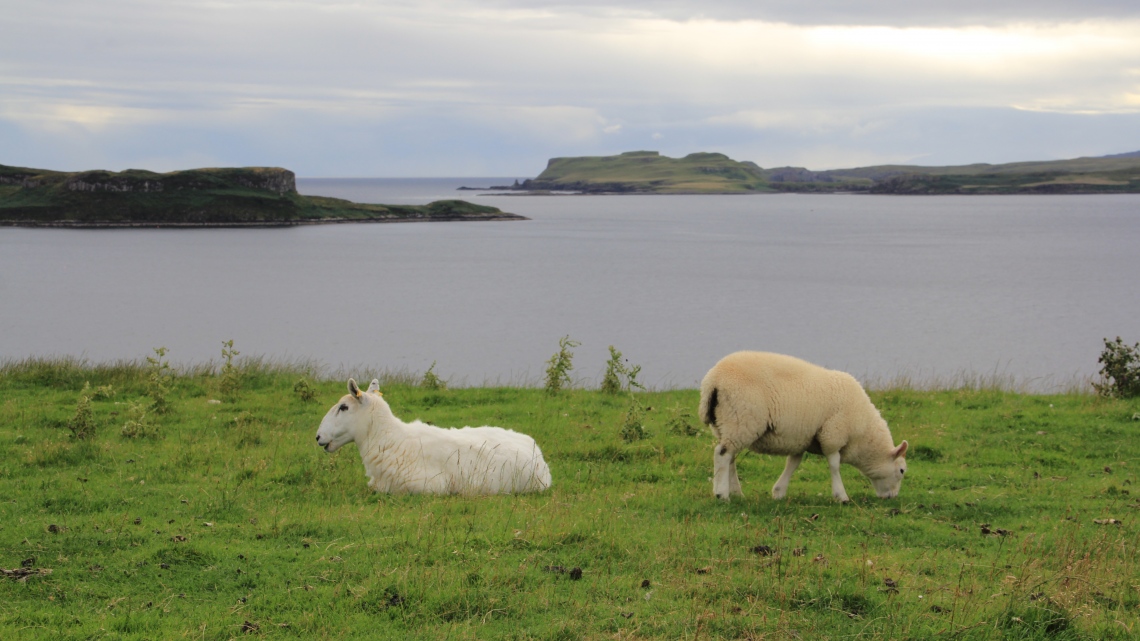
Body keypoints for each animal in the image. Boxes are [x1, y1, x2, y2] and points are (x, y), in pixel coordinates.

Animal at [693, 351, 907, 501]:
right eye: (902, 471)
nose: (892, 498)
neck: (863, 435)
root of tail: (713, 381)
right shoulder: (832, 434)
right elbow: (834, 464)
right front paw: (841, 496)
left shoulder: (802, 438)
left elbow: (793, 463)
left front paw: (779, 492)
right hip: (741, 419)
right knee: (722, 454)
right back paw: (722, 494)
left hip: (728, 424)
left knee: (730, 458)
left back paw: (737, 493)